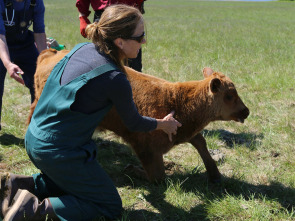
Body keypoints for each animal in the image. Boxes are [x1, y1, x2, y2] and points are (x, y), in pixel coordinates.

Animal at [28, 48, 250, 183]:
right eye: (229, 95)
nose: (246, 111)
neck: (177, 100)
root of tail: (51, 53)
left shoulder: (185, 131)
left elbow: (201, 143)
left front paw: (215, 175)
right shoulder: (147, 149)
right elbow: (158, 177)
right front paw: (132, 169)